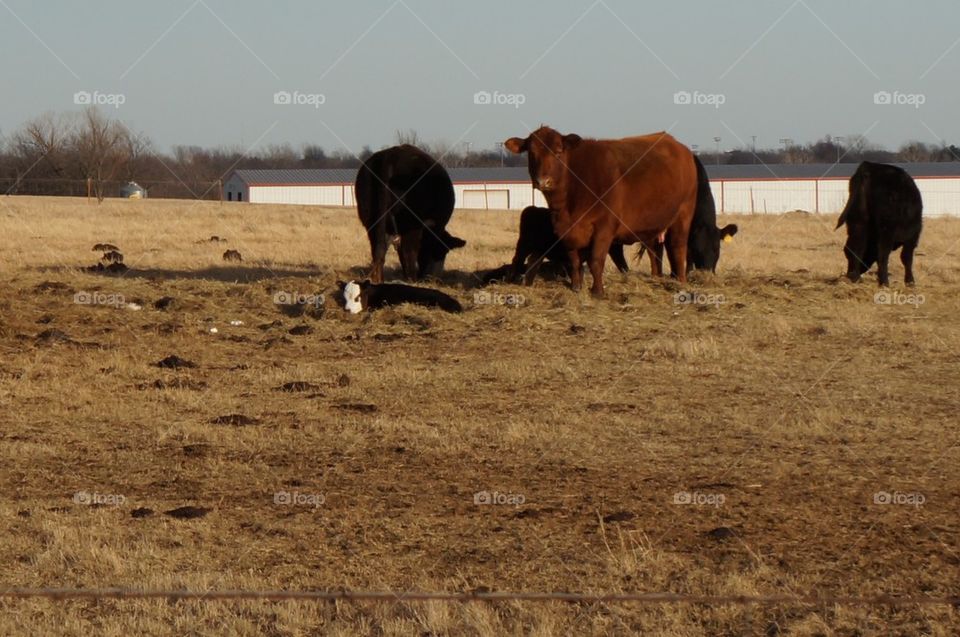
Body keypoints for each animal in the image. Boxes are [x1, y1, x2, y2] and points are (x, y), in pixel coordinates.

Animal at [356, 145, 468, 284]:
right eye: (443, 251)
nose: (434, 278)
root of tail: (391, 156)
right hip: (412, 224)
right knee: (408, 251)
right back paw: (412, 279)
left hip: (370, 220)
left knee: (378, 249)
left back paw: (380, 280)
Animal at [502, 205, 632, 284]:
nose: (625, 269)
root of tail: (532, 208)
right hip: (524, 245)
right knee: (517, 260)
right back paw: (512, 279)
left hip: (538, 250)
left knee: (532, 261)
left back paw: (527, 282)